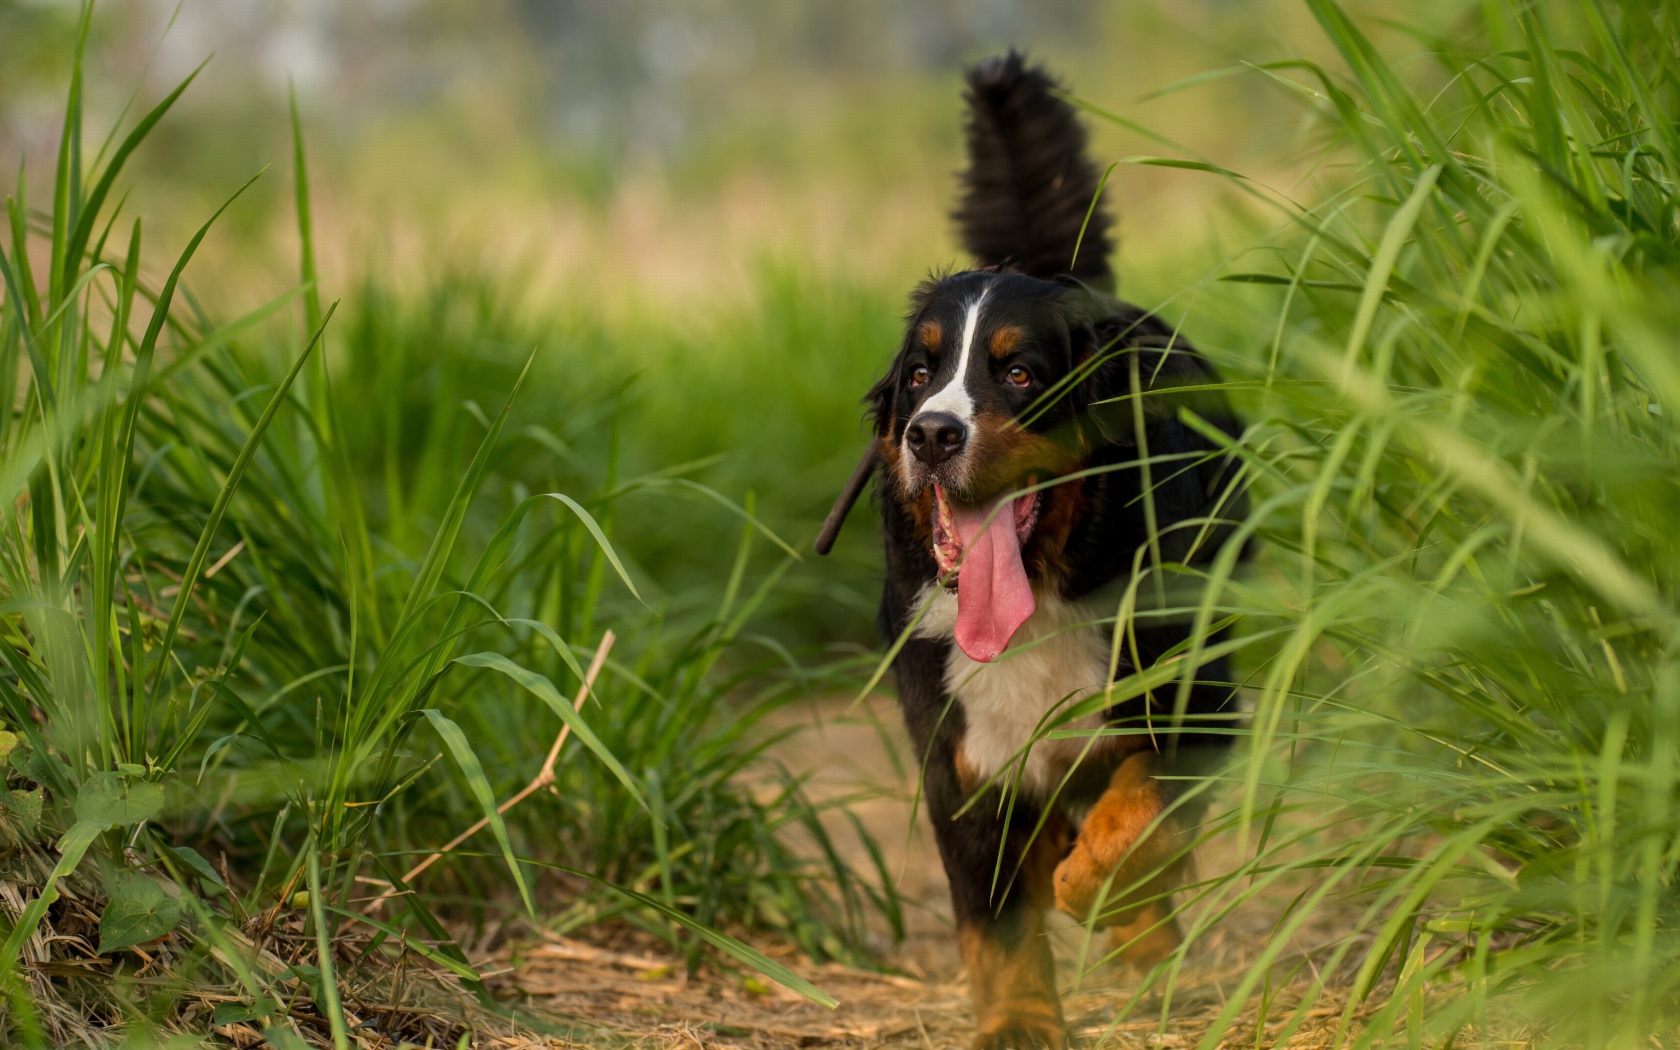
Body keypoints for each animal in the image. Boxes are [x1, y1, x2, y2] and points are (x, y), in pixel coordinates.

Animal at [813, 53, 1249, 1048]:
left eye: (1018, 374)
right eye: (921, 373)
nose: (933, 434)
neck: (1045, 593)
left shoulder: (1200, 705)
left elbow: (1140, 816)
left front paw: (1108, 900)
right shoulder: (959, 755)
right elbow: (996, 915)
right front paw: (1019, 1019)